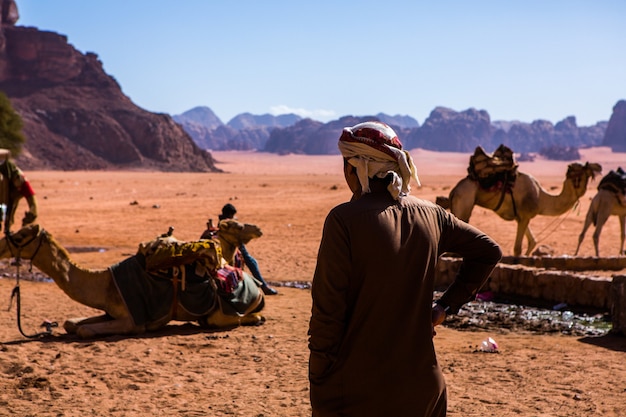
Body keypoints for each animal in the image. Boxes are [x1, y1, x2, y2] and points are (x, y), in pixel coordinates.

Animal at [0, 224, 264, 338]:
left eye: (21, 236)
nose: (2, 245)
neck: (105, 283)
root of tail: (258, 288)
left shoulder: (133, 320)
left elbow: (84, 330)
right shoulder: (111, 311)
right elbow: (71, 323)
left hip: (219, 313)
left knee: (230, 318)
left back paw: (256, 318)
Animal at [436, 161, 604, 255]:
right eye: (584, 167)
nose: (599, 167)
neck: (541, 198)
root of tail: (454, 191)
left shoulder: (522, 217)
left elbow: (532, 241)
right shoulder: (524, 215)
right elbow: (517, 248)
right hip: (465, 203)